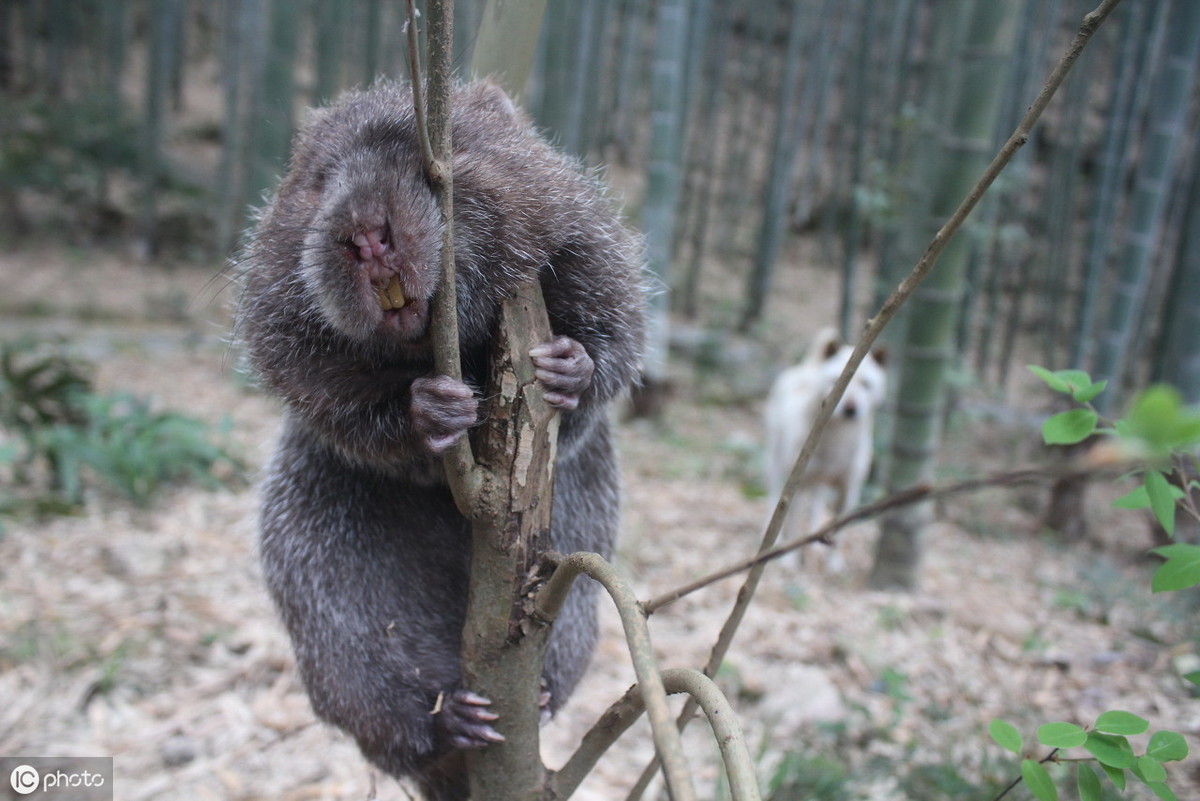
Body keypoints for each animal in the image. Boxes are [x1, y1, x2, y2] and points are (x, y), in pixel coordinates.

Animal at [763, 328, 888, 573]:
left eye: (866, 384)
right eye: (837, 380)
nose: (850, 409)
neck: (836, 443)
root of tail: (807, 368)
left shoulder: (849, 490)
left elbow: (838, 529)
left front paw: (833, 562)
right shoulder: (796, 488)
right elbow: (792, 523)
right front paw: (789, 560)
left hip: (820, 485)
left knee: (816, 509)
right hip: (776, 462)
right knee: (774, 498)